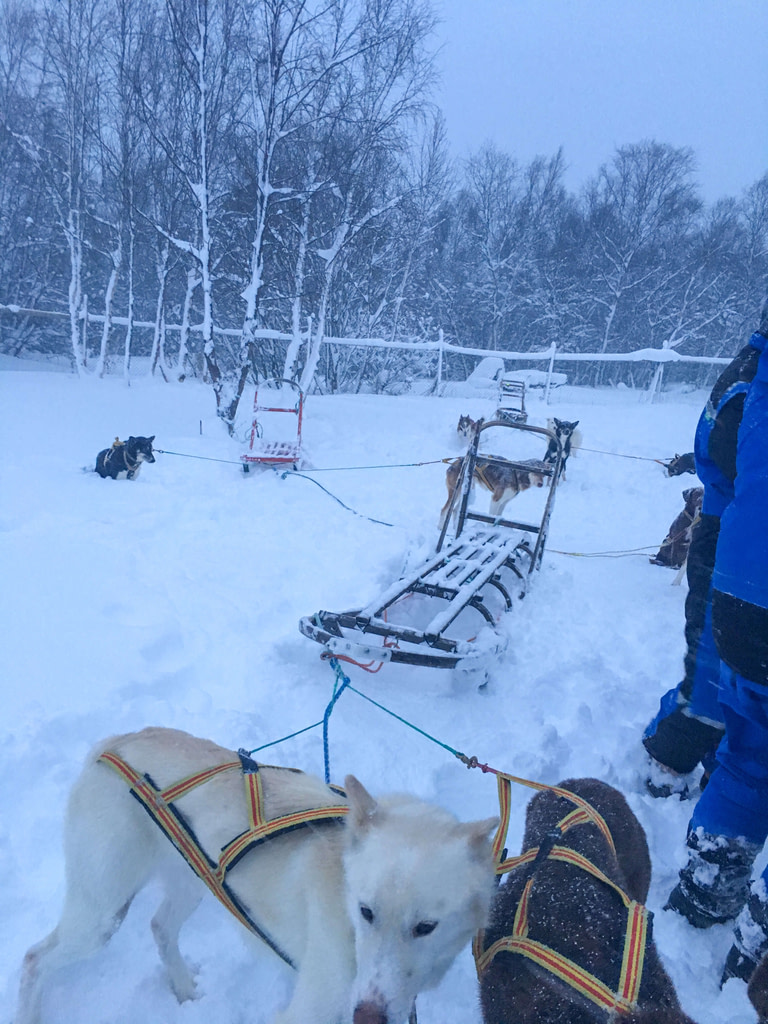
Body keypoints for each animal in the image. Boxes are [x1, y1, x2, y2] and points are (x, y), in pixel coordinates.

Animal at [19, 729, 499, 1024]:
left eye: (426, 927)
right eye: (365, 912)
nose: (367, 1015)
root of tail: (116, 741)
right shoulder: (308, 1010)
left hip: (196, 881)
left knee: (160, 926)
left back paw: (184, 989)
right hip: (103, 914)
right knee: (34, 958)